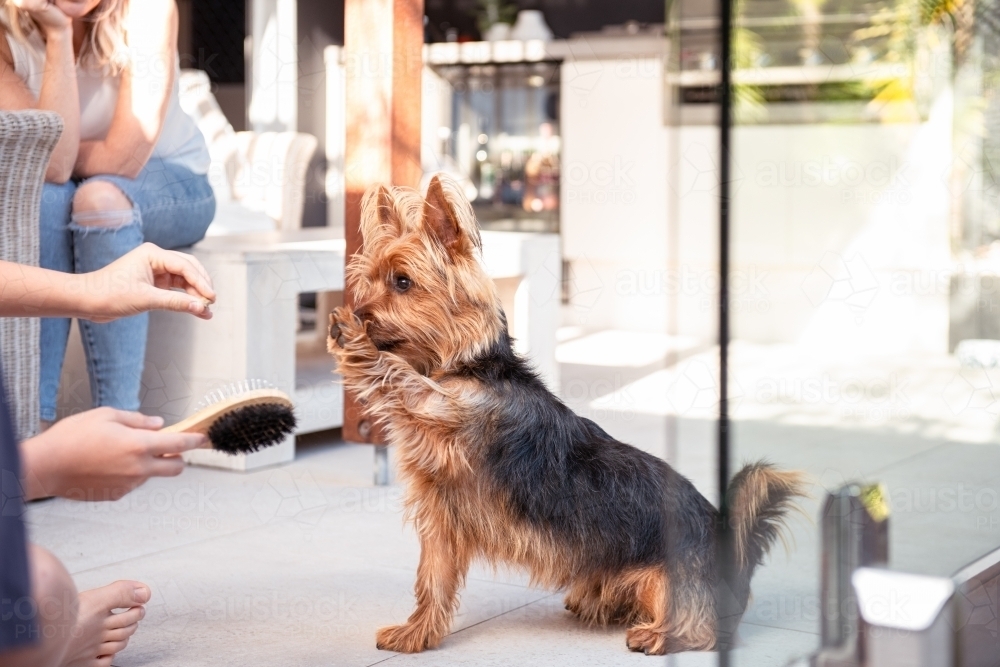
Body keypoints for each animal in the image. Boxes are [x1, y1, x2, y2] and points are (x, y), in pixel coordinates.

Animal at [328, 175, 804, 656]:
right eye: (369, 281)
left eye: (403, 282)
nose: (360, 315)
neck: (472, 366)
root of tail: (729, 542)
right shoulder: (442, 510)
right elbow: (432, 579)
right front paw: (416, 634)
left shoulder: (446, 410)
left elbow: (401, 378)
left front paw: (354, 341)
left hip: (667, 581)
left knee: (703, 628)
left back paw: (657, 633)